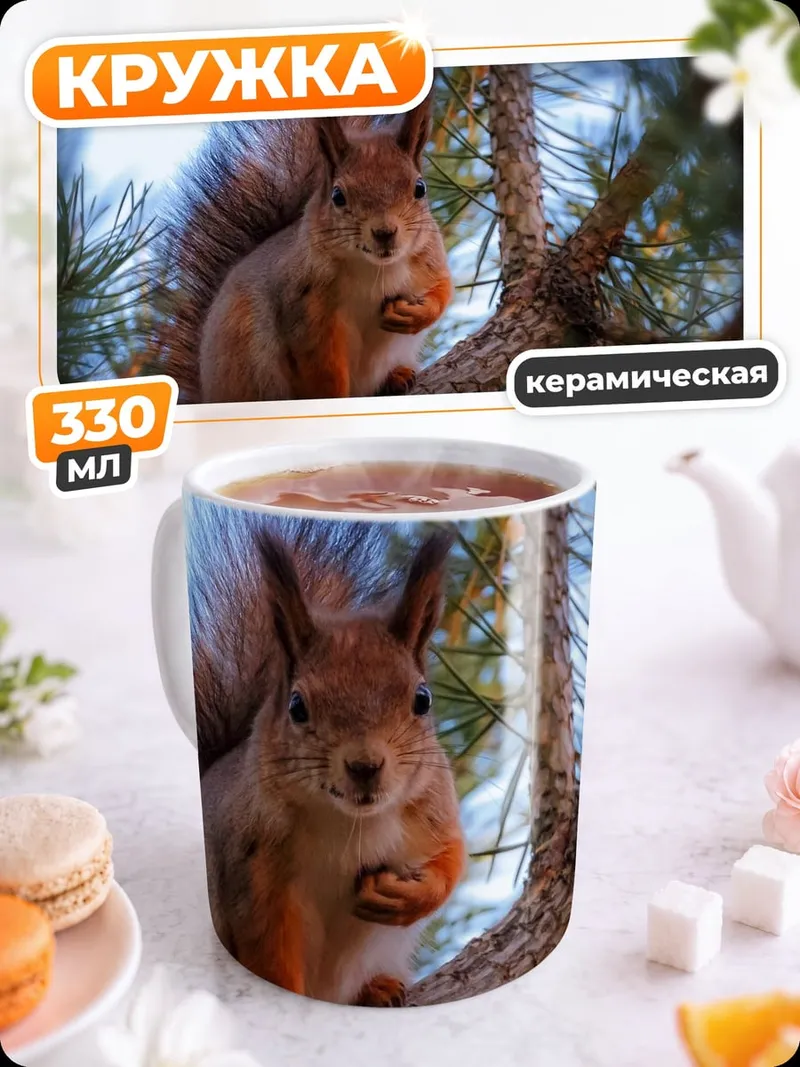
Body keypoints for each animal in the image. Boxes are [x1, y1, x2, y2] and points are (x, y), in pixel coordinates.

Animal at [155, 93, 453, 405]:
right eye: (338, 196)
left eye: (420, 188)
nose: (384, 232)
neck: (376, 268)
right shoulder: (303, 307)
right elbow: (321, 368)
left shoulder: (429, 260)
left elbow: (443, 290)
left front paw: (417, 314)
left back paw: (396, 376)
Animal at [186, 504, 466, 1006]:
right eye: (297, 706)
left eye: (423, 699)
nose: (365, 766)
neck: (353, 823)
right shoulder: (256, 878)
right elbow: (271, 954)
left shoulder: (433, 808)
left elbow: (452, 859)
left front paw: (409, 897)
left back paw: (378, 987)